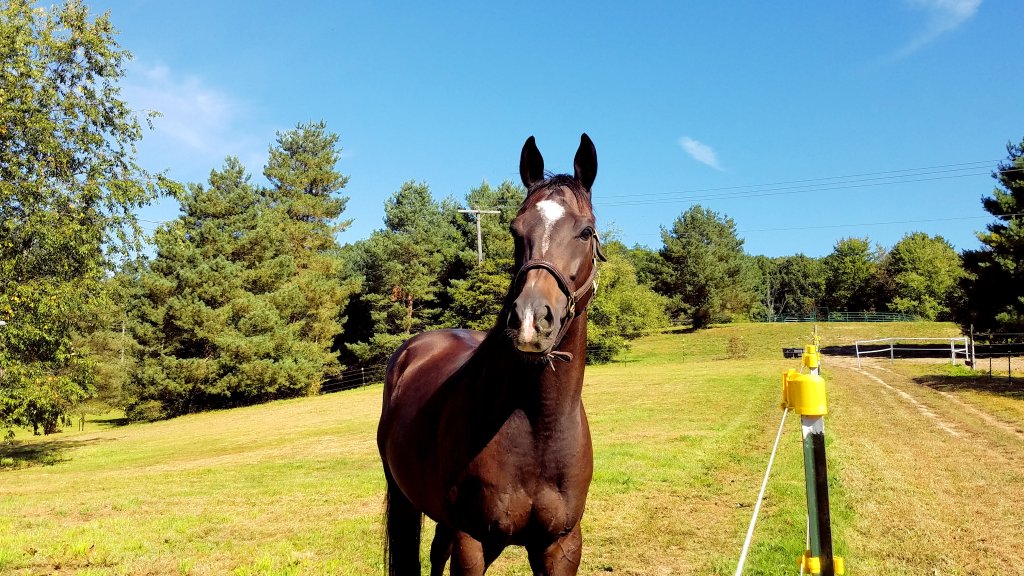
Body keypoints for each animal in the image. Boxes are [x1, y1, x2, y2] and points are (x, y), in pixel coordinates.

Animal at [377, 134, 605, 575]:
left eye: (586, 232)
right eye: (516, 230)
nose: (531, 319)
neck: (537, 426)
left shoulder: (561, 545)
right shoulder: (474, 541)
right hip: (408, 500)